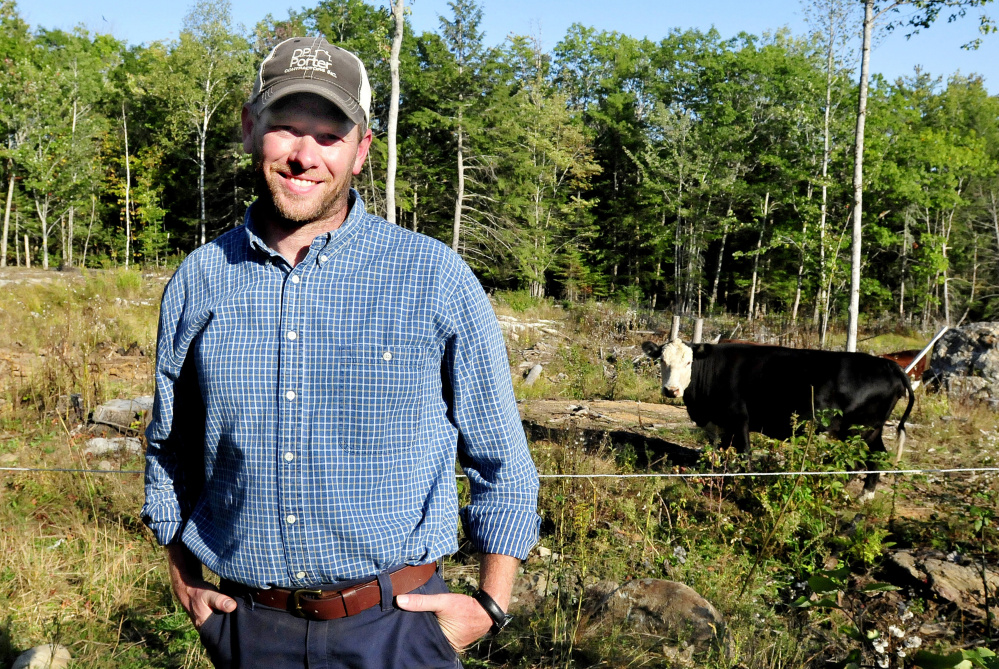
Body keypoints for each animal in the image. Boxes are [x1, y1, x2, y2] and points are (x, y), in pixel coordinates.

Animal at [644, 342, 916, 494]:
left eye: (689, 362)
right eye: (662, 361)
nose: (671, 390)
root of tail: (888, 364)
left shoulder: (739, 419)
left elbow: (744, 455)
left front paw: (743, 486)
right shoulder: (720, 425)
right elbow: (722, 454)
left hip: (859, 430)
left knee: (861, 460)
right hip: (872, 430)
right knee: (877, 456)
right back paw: (863, 496)